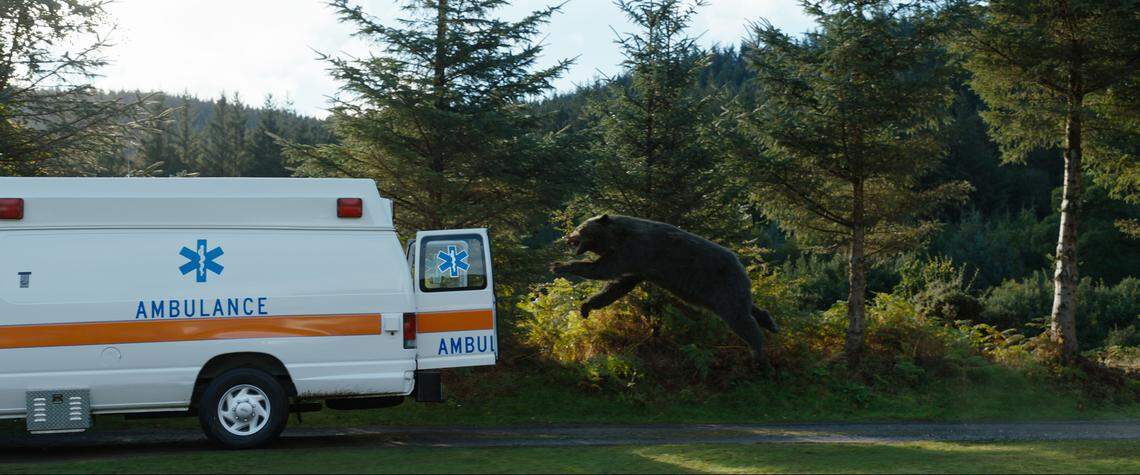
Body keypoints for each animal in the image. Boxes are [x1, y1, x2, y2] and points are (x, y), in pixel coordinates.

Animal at [549, 214, 779, 365]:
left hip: (721, 285)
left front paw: (559, 265)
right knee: (748, 309)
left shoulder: (635, 250)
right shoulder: (637, 265)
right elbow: (618, 285)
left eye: (580, 228)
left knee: (741, 319)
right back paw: (770, 322)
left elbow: (604, 269)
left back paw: (757, 352)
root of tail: (741, 264)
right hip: (722, 292)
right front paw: (586, 306)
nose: (568, 237)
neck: (618, 236)